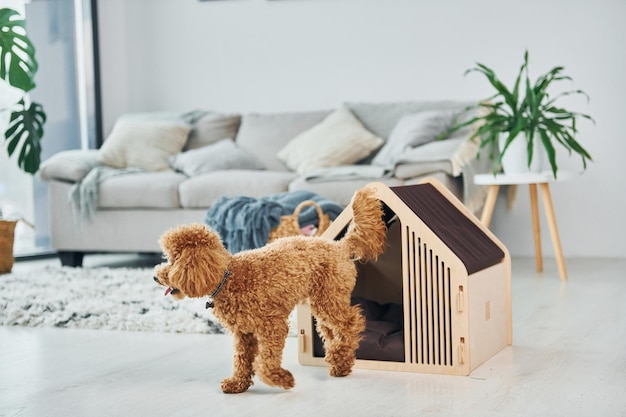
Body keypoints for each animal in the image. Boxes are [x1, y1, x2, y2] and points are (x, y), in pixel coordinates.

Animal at [153, 187, 386, 392]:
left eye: (174, 259)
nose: (155, 276)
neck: (228, 278)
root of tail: (340, 247)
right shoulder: (243, 333)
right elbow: (242, 359)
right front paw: (237, 384)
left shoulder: (273, 326)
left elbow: (265, 362)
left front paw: (282, 379)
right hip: (324, 300)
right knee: (331, 330)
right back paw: (339, 360)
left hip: (329, 297)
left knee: (352, 322)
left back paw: (339, 355)